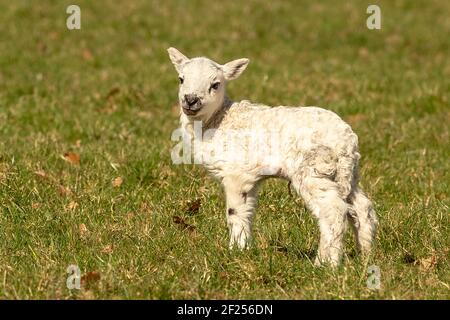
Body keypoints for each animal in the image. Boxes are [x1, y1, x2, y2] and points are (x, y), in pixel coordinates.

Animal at [167, 47, 378, 266]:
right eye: (181, 79)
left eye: (215, 85)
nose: (190, 100)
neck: (218, 120)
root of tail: (346, 140)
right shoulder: (250, 177)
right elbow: (247, 212)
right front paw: (244, 249)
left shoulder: (236, 173)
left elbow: (234, 212)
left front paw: (234, 251)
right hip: (347, 173)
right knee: (362, 208)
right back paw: (365, 256)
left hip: (315, 168)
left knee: (333, 210)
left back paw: (326, 264)